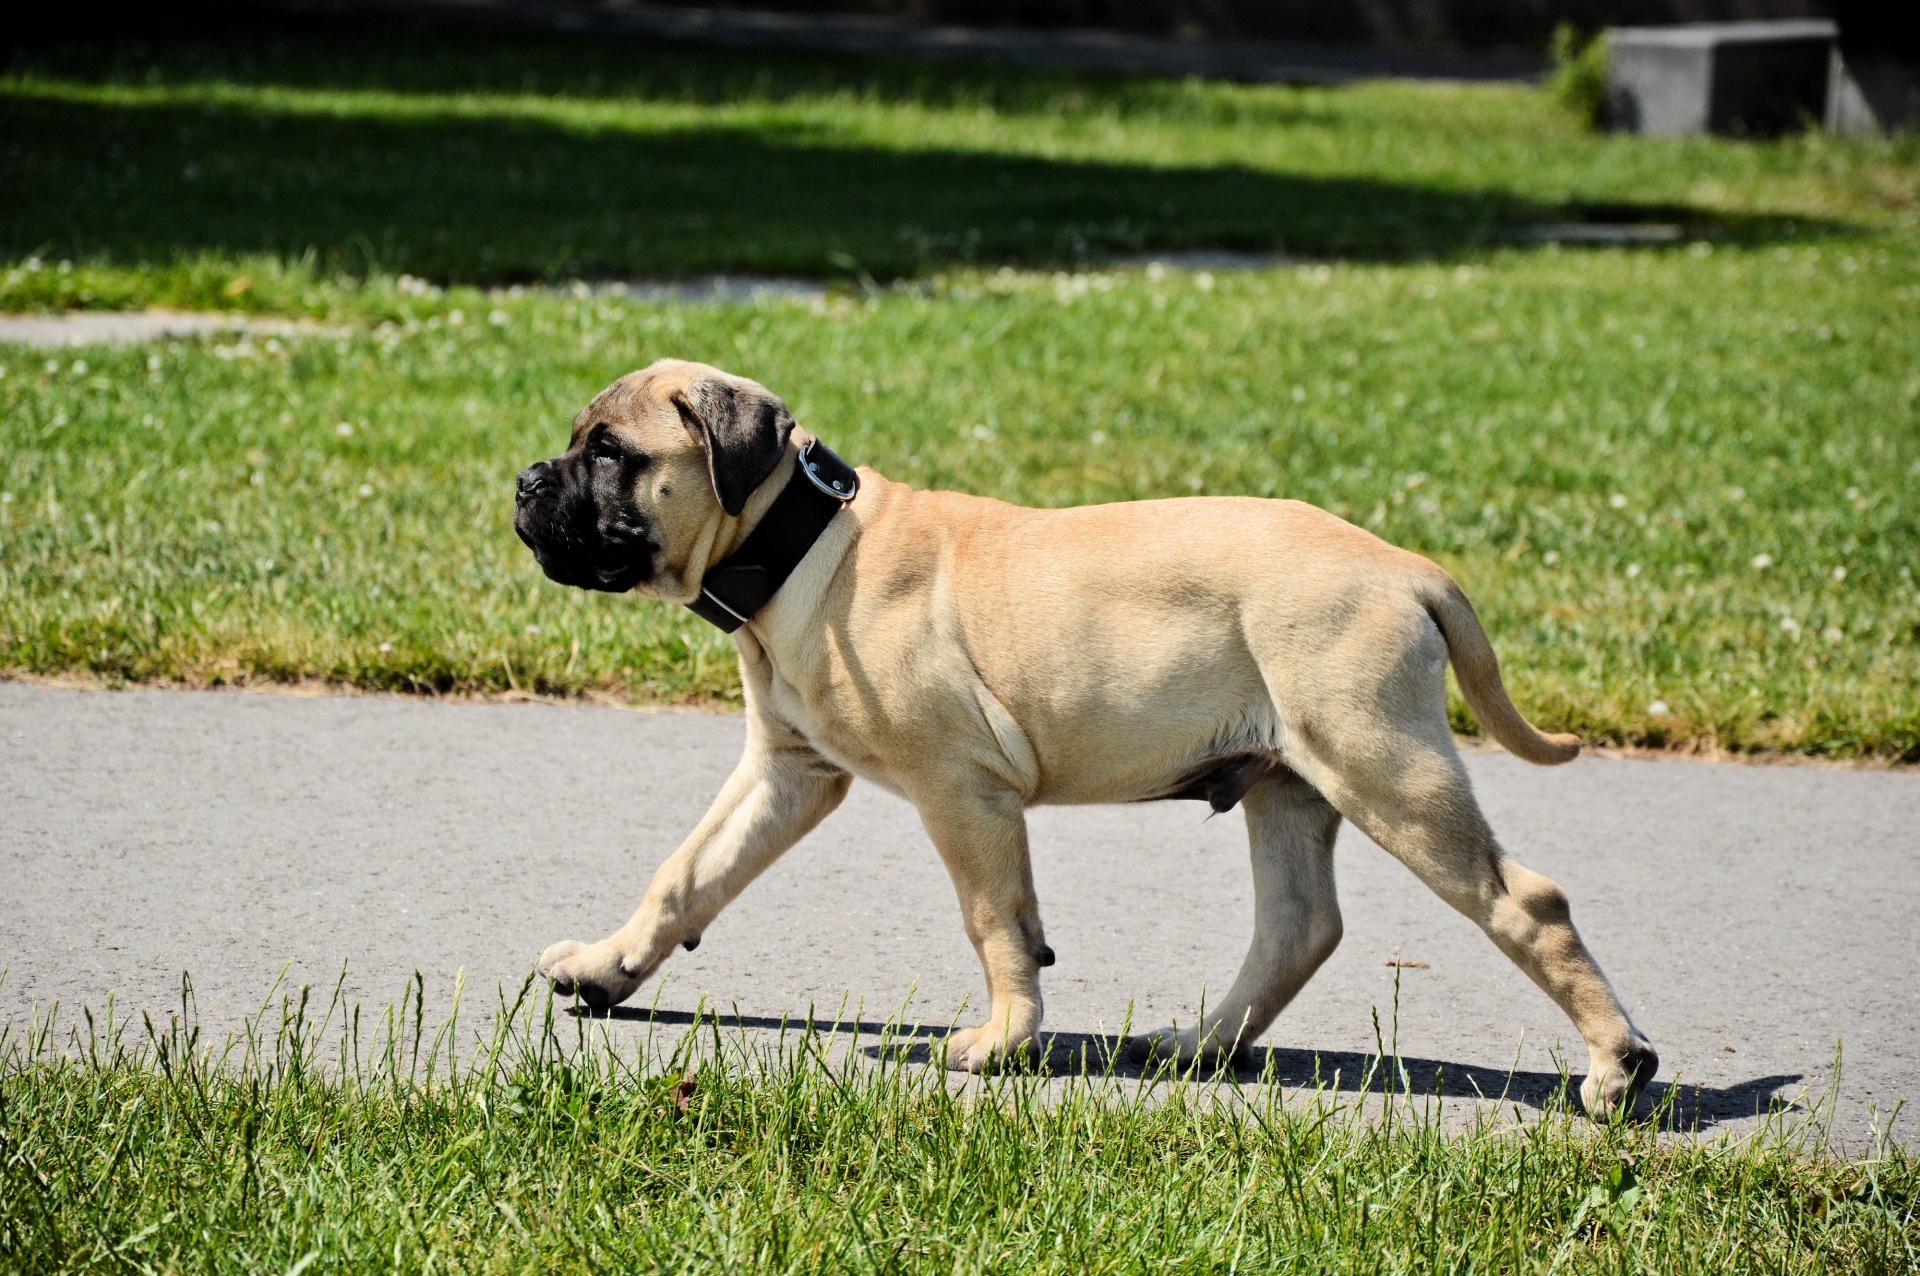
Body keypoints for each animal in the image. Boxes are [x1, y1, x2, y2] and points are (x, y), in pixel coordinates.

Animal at [518, 358, 1658, 1112]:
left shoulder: (962, 790)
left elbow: (997, 922)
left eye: (611, 454)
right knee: (1300, 926)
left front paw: (1002, 1041)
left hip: (1380, 761)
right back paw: (1196, 1046)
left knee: (1525, 901)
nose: (526, 482)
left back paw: (1617, 1066)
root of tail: (1408, 566)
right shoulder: (786, 773)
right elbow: (685, 873)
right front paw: (609, 967)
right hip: (1293, 781)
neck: (805, 545)